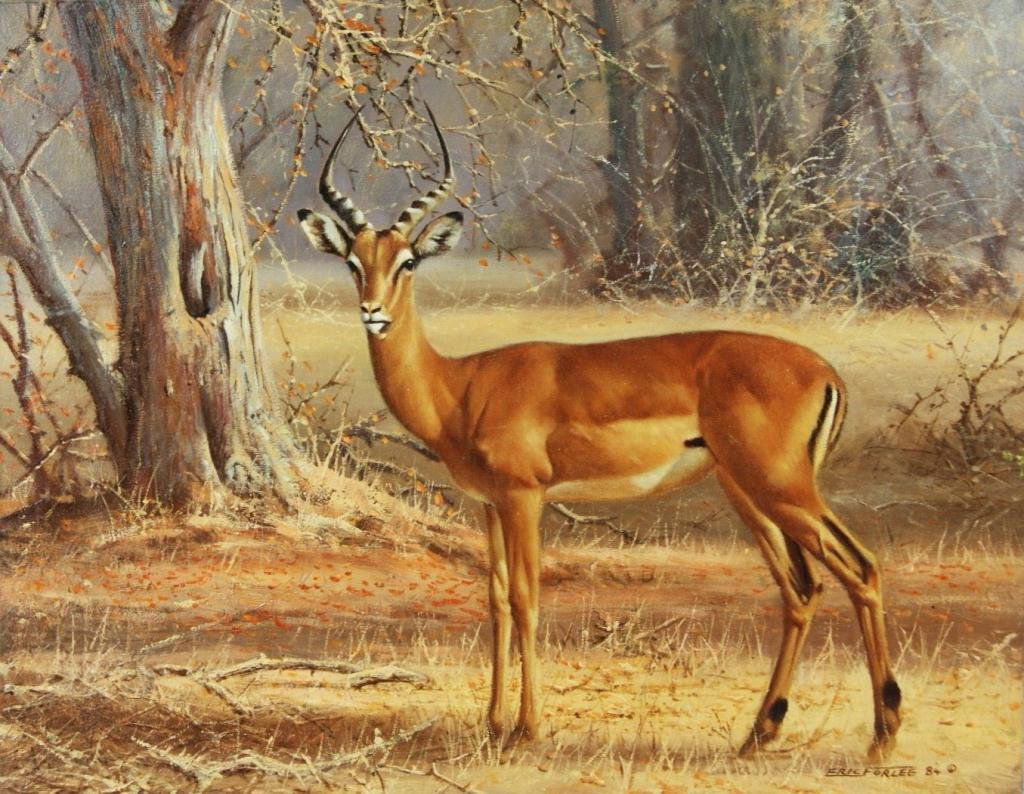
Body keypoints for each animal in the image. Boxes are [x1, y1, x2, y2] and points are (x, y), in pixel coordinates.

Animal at [297, 107, 903, 760]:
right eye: (353, 262)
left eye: (407, 261)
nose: (373, 314)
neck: (460, 387)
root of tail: (825, 372)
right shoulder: (487, 504)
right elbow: (496, 601)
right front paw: (492, 724)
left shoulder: (524, 497)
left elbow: (527, 599)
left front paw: (527, 729)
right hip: (749, 492)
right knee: (801, 588)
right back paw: (760, 734)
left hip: (781, 487)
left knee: (862, 567)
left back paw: (882, 737)